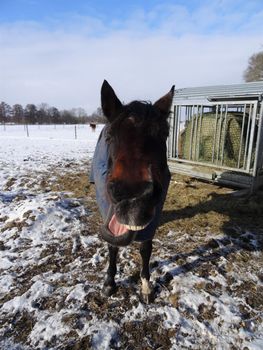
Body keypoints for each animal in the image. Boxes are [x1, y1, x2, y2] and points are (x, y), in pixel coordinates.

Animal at [91, 80, 175, 302]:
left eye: (164, 134)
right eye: (110, 135)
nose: (133, 198)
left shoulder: (152, 220)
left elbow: (145, 248)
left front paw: (146, 286)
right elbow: (112, 246)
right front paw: (109, 283)